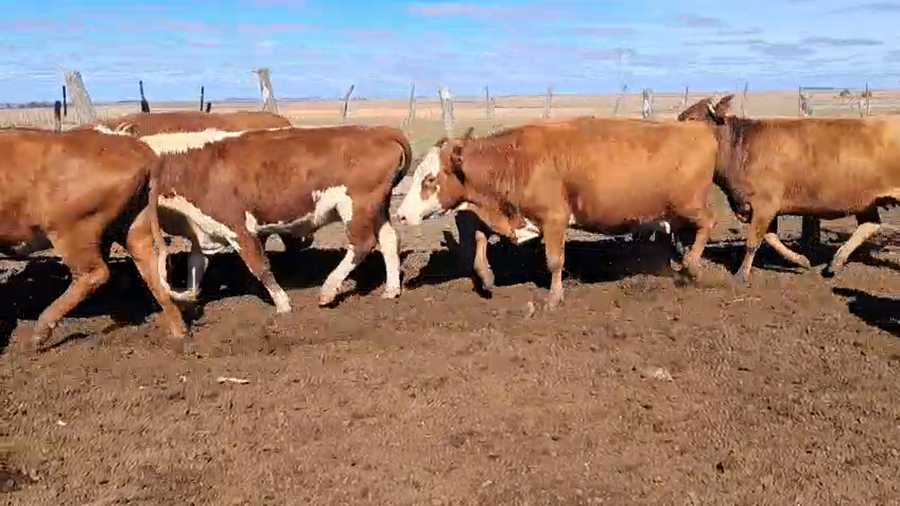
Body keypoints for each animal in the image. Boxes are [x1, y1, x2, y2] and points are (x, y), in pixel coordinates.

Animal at [0, 128, 188, 351]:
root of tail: (137, 147)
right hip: (133, 225)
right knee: (151, 269)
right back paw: (178, 333)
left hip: (71, 231)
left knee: (94, 273)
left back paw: (38, 334)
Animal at [97, 124, 411, 311]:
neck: (190, 166)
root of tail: (377, 131)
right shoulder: (204, 232)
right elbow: (195, 270)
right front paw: (186, 296)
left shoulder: (239, 227)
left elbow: (259, 266)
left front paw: (283, 303)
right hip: (377, 207)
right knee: (389, 240)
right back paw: (391, 289)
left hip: (357, 205)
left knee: (362, 244)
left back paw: (327, 290)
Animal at [396, 117, 719, 308]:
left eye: (430, 179)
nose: (400, 215)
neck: (516, 161)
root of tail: (699, 129)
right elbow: (479, 237)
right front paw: (486, 277)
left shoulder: (553, 219)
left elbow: (554, 261)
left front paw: (553, 297)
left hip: (688, 205)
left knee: (709, 223)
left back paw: (692, 265)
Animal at [677, 94, 899, 282]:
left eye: (693, 118)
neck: (740, 148)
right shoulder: (757, 207)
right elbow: (770, 237)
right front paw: (801, 260)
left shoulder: (765, 204)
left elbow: (753, 241)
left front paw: (741, 275)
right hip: (866, 200)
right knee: (869, 225)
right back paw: (834, 264)